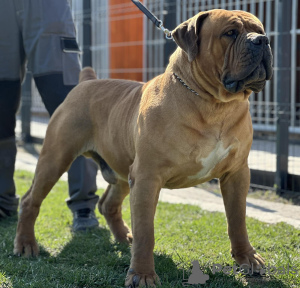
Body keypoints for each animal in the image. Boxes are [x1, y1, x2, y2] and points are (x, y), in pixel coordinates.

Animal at [14, 9, 272, 288]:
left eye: (260, 29)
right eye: (230, 33)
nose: (263, 40)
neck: (215, 104)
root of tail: (86, 82)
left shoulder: (237, 173)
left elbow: (238, 220)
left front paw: (247, 258)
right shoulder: (147, 177)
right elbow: (146, 230)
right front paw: (142, 274)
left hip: (121, 170)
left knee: (107, 204)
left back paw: (123, 237)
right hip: (56, 158)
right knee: (30, 200)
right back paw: (26, 245)